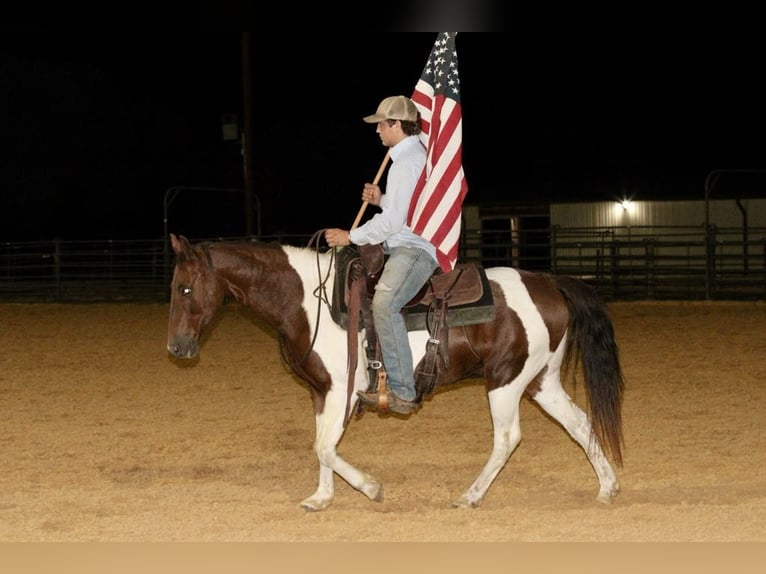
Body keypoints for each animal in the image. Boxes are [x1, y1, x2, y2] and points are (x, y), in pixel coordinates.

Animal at [166, 234, 624, 512]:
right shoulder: (321, 391)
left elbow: (325, 447)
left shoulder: (344, 391)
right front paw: (321, 497)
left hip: (506, 381)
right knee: (580, 423)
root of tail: (550, 282)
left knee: (508, 438)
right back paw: (606, 487)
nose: (176, 347)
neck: (307, 301)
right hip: (541, 380)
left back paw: (470, 496)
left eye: (185, 288)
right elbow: (321, 445)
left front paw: (371, 488)